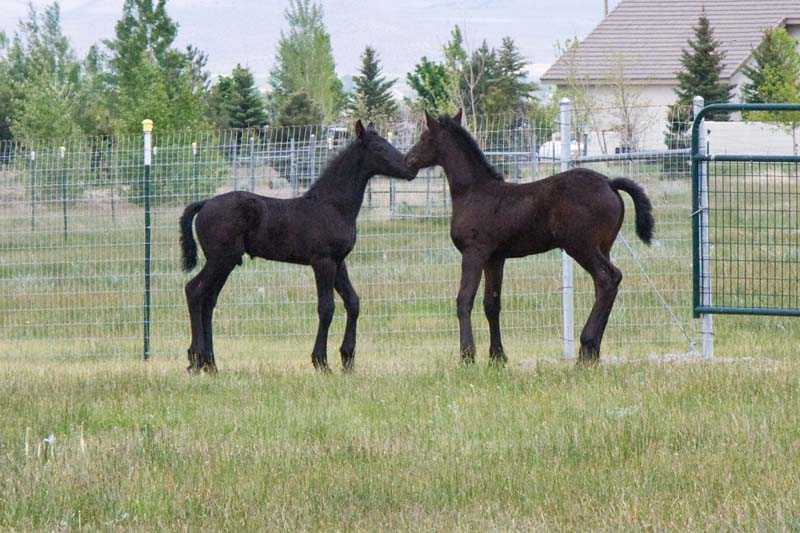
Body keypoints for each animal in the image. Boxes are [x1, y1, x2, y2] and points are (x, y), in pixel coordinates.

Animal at [179, 120, 415, 373]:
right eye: (378, 148)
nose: (410, 169)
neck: (331, 206)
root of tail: (204, 204)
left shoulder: (339, 261)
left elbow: (353, 302)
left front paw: (347, 359)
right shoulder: (322, 262)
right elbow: (326, 307)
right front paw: (321, 362)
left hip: (225, 262)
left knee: (208, 300)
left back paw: (210, 364)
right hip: (220, 259)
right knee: (194, 291)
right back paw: (196, 358)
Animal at [405, 110, 654, 365]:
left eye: (425, 138)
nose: (408, 161)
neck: (473, 192)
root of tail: (609, 183)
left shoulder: (474, 253)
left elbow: (464, 300)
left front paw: (467, 356)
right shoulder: (495, 258)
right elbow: (491, 304)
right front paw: (497, 357)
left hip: (581, 247)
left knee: (608, 278)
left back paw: (586, 348)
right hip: (603, 247)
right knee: (604, 285)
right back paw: (592, 353)